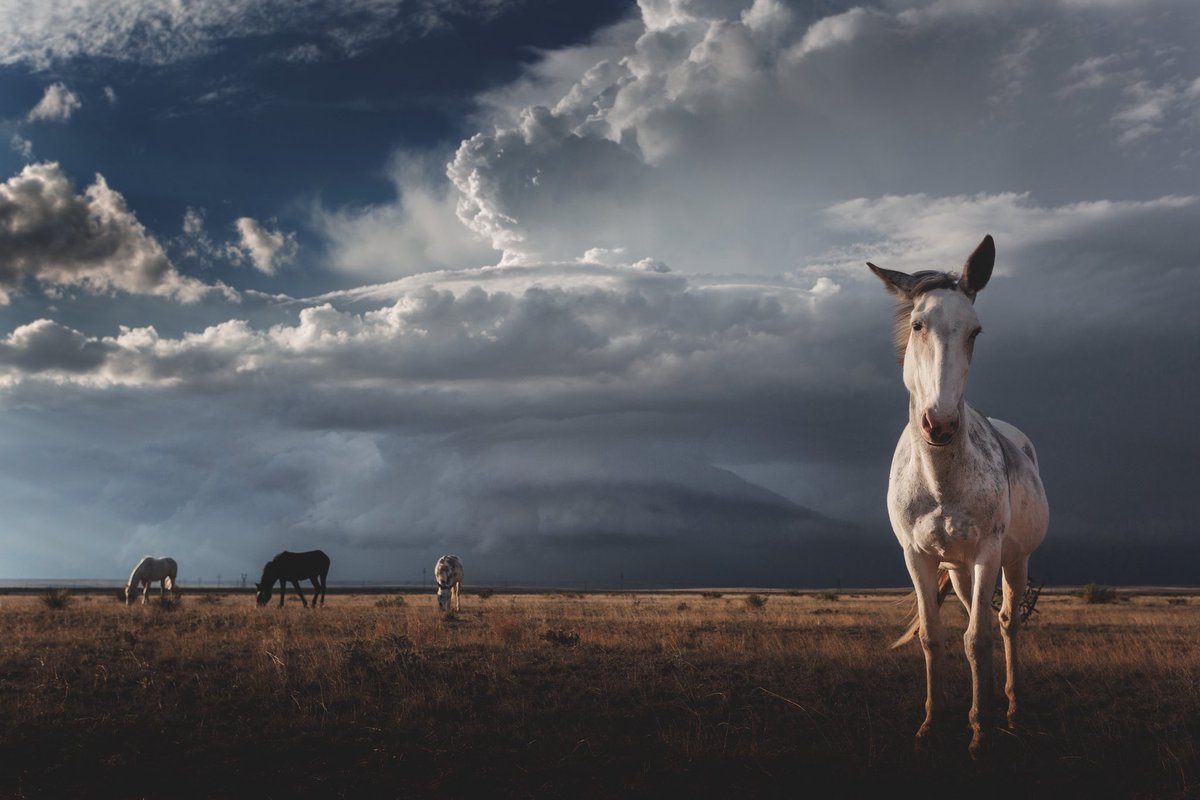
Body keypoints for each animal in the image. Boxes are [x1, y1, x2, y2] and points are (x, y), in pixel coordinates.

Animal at [868, 235, 1049, 757]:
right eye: (917, 324)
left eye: (975, 331)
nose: (940, 425)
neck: (939, 481)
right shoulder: (917, 556)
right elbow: (934, 637)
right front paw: (932, 722)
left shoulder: (988, 550)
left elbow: (978, 639)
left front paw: (980, 731)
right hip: (958, 567)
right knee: (975, 614)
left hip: (1013, 561)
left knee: (1004, 622)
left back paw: (1009, 705)